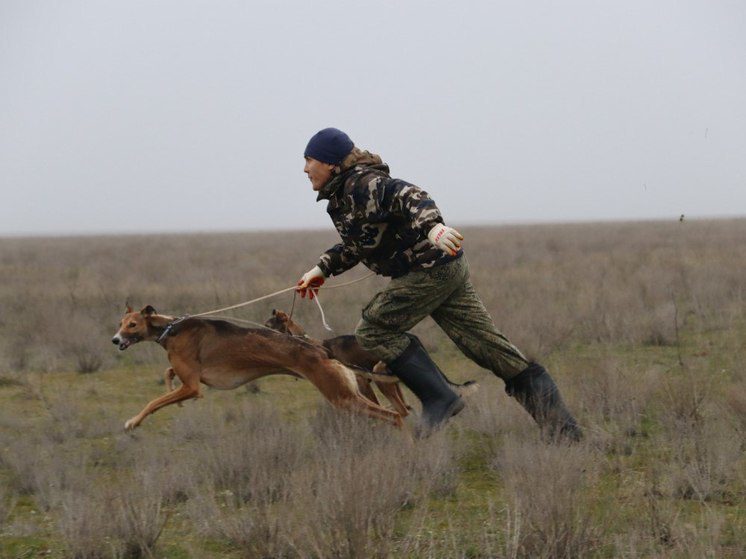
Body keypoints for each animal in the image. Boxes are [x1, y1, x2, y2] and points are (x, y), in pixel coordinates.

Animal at [110, 308, 402, 430]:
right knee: (395, 413)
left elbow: (153, 402)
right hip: (349, 393)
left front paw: (133, 422)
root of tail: (323, 349)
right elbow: (168, 374)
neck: (171, 329)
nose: (115, 339)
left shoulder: (192, 386)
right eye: (121, 323)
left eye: (133, 324)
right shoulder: (189, 380)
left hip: (341, 396)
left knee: (394, 416)